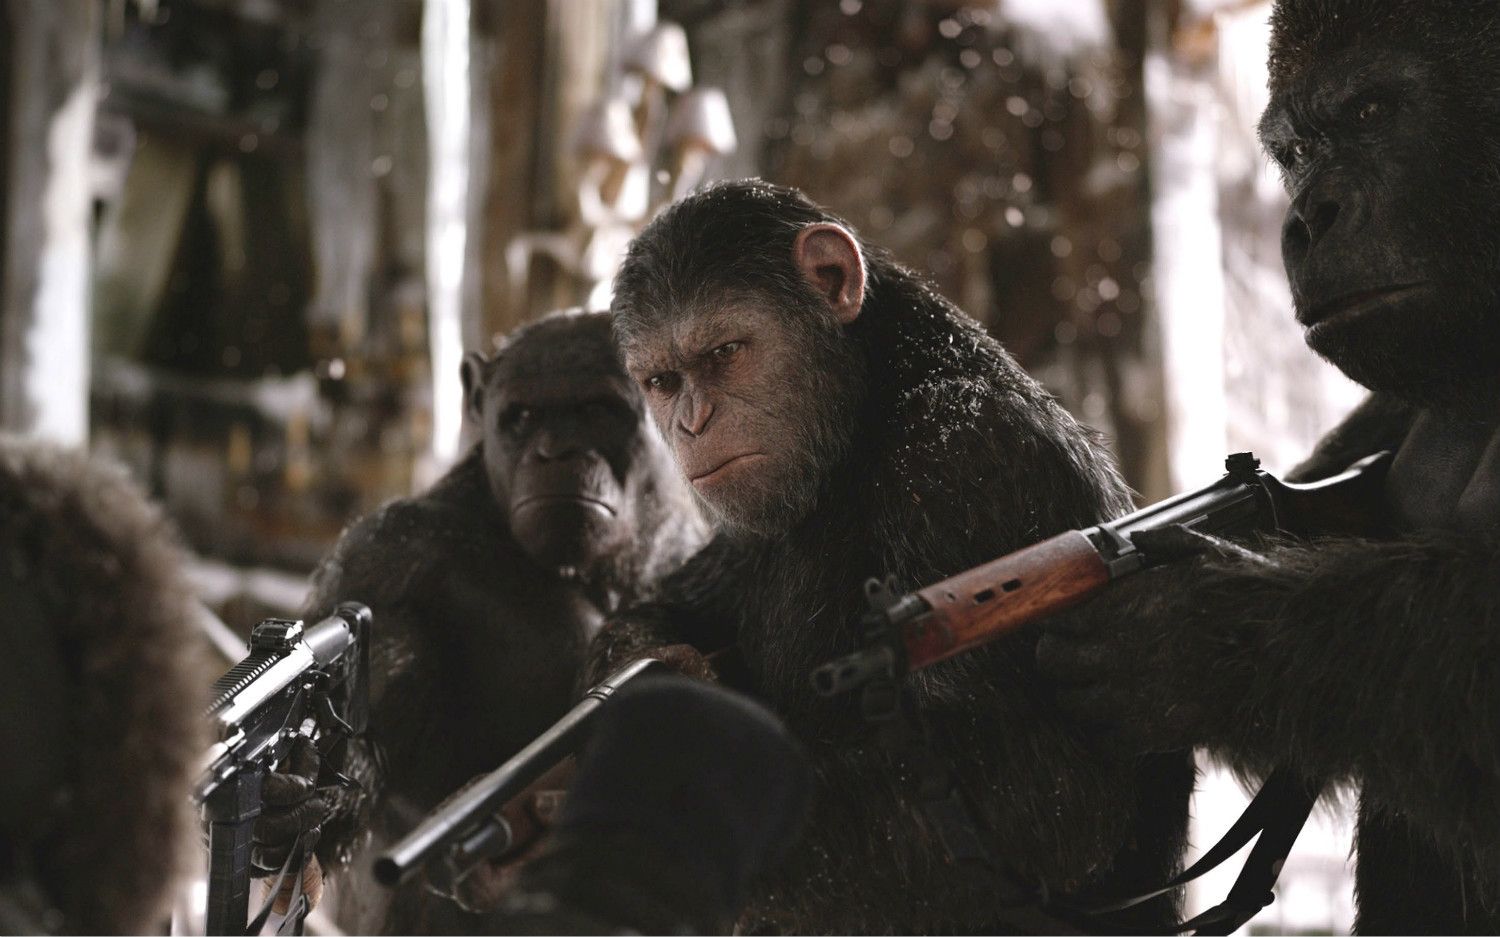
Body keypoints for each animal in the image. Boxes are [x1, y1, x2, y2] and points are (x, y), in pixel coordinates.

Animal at [584, 180, 1194, 933]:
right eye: (664, 381)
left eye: (725, 350)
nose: (693, 422)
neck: (865, 409)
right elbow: (670, 602)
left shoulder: (971, 468)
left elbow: (1040, 792)